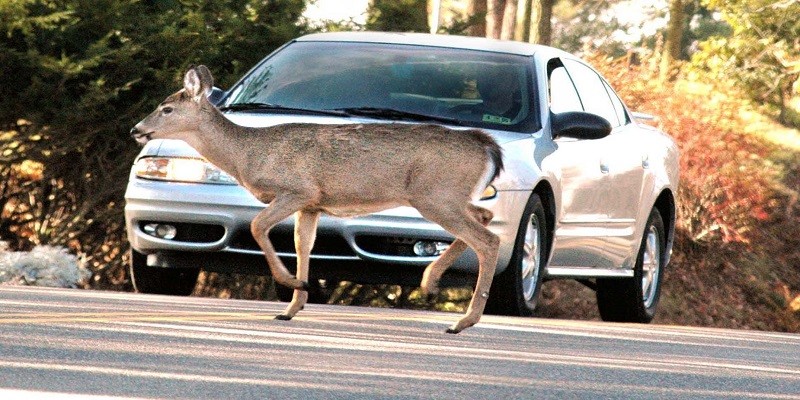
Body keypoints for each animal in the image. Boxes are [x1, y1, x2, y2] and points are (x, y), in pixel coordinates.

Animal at [132, 66, 506, 334]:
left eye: (166, 109)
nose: (137, 129)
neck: (249, 155)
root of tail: (487, 146)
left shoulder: (299, 190)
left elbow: (257, 226)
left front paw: (292, 283)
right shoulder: (312, 205)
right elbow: (303, 245)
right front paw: (291, 308)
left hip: (435, 195)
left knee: (489, 240)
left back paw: (461, 321)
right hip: (450, 197)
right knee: (485, 217)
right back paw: (431, 282)